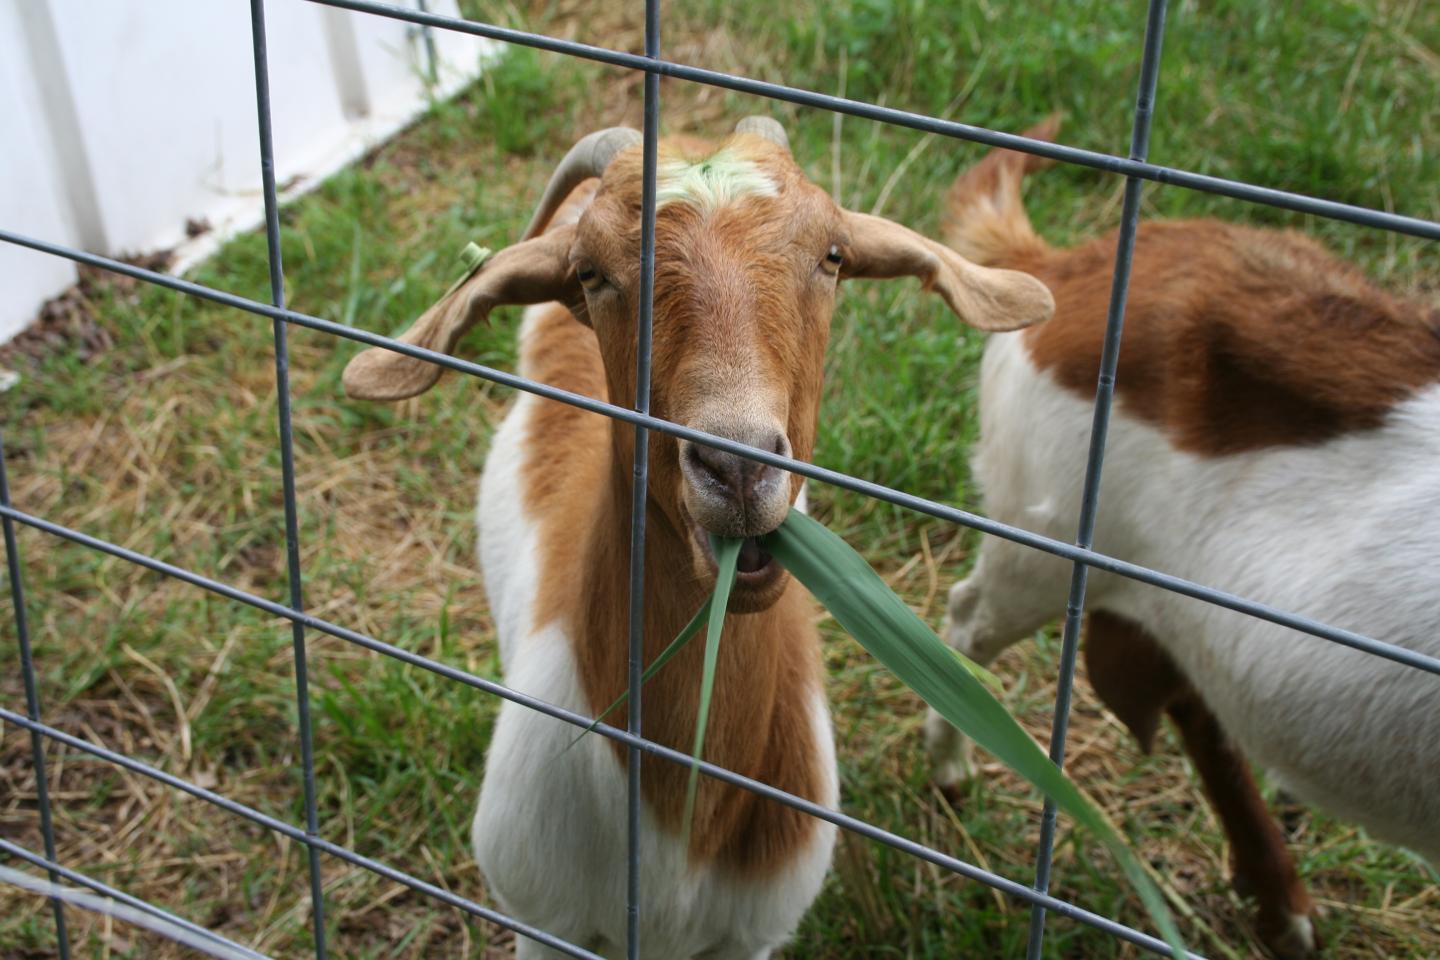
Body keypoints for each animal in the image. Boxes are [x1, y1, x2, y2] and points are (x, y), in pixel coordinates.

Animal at [342, 117, 1053, 959]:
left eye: (833, 254)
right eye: (592, 271)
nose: (737, 465)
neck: (680, 818)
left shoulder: (752, 936)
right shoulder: (543, 919)